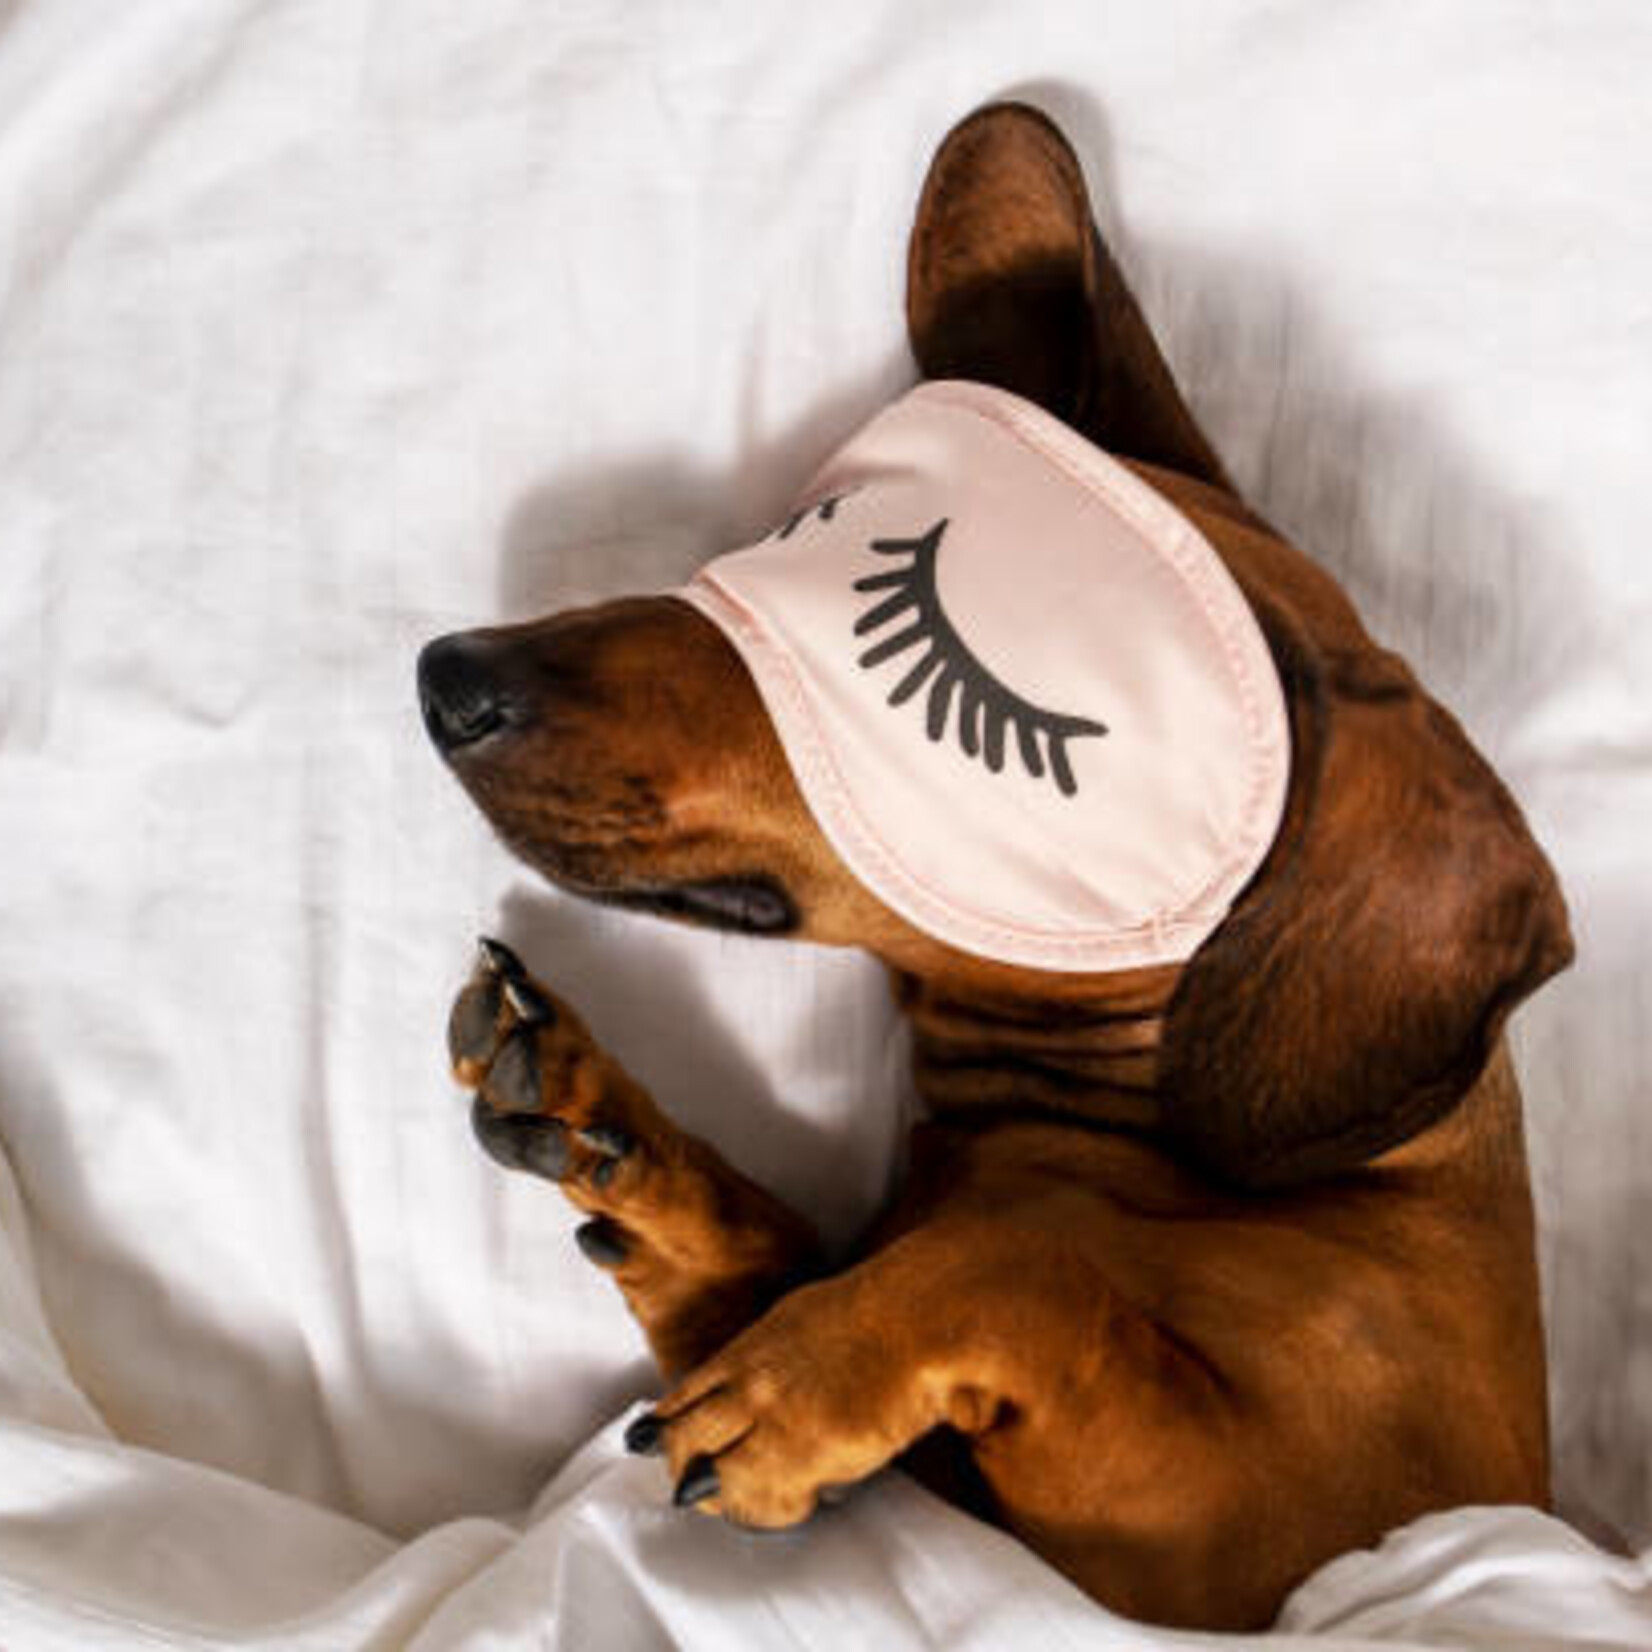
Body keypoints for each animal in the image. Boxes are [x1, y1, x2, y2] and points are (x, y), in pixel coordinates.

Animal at [416, 106, 1572, 1638]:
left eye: (927, 679)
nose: (448, 677)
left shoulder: (1237, 1550)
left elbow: (1027, 1261)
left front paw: (798, 1383)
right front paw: (626, 1148)